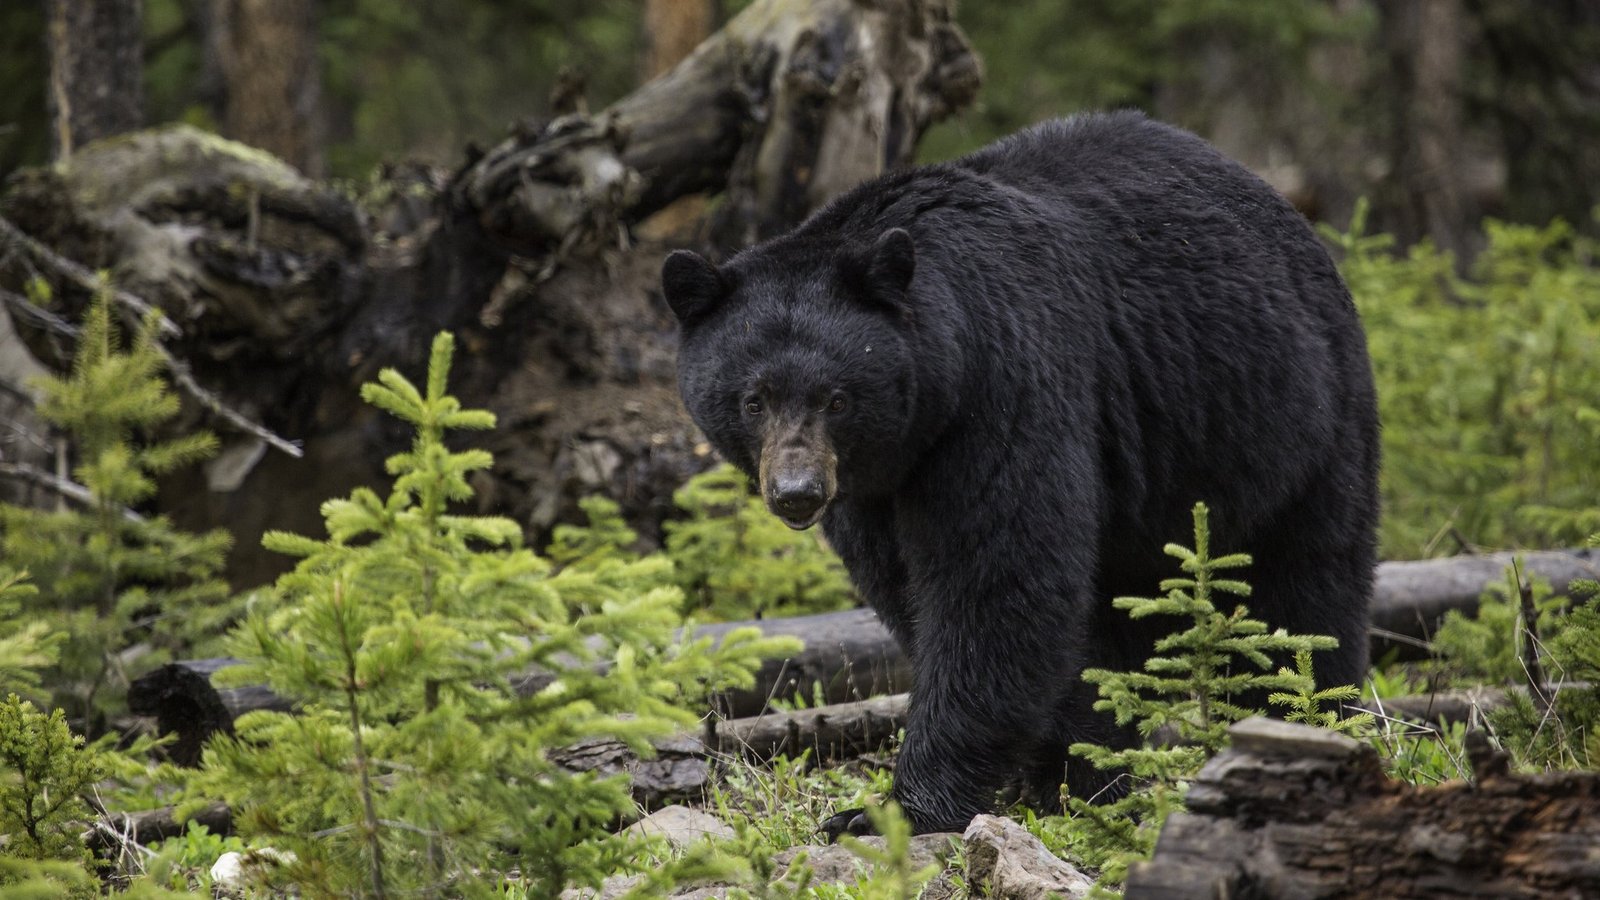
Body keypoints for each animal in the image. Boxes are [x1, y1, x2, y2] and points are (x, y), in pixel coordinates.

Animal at [660, 110, 1379, 837]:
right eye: (753, 399)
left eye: (836, 398)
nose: (797, 493)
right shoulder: (874, 486)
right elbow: (911, 588)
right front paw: (1058, 772)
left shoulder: (1005, 385)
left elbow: (997, 581)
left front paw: (896, 809)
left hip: (1294, 421)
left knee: (1304, 590)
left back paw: (1303, 720)